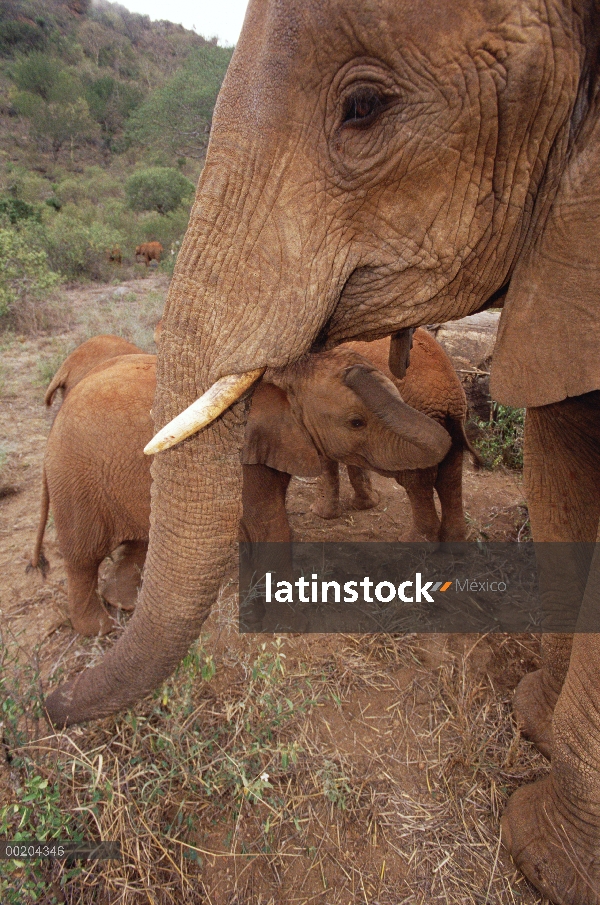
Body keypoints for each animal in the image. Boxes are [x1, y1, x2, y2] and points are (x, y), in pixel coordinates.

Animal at [45, 3, 600, 900]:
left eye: (364, 108)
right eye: (354, 417)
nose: (46, 707)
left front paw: (538, 829)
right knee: (86, 554)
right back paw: (100, 626)